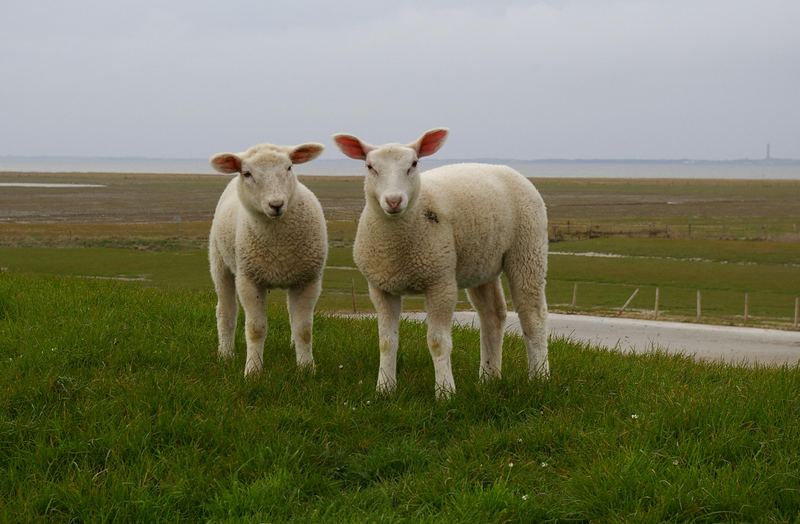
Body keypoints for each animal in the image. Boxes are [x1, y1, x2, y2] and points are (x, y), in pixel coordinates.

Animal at [211, 141, 330, 374]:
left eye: (289, 167)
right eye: (247, 173)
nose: (276, 204)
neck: (279, 247)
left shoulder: (308, 280)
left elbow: (304, 329)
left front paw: (306, 368)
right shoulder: (249, 279)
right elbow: (256, 329)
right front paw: (253, 371)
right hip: (220, 263)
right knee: (226, 311)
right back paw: (225, 354)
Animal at [332, 130, 552, 398]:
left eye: (413, 164)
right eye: (370, 167)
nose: (394, 201)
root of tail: (506, 169)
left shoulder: (440, 282)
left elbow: (438, 342)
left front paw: (445, 392)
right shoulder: (381, 287)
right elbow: (386, 342)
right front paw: (384, 389)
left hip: (528, 248)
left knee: (533, 314)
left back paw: (539, 377)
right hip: (481, 262)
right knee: (492, 314)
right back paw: (488, 378)